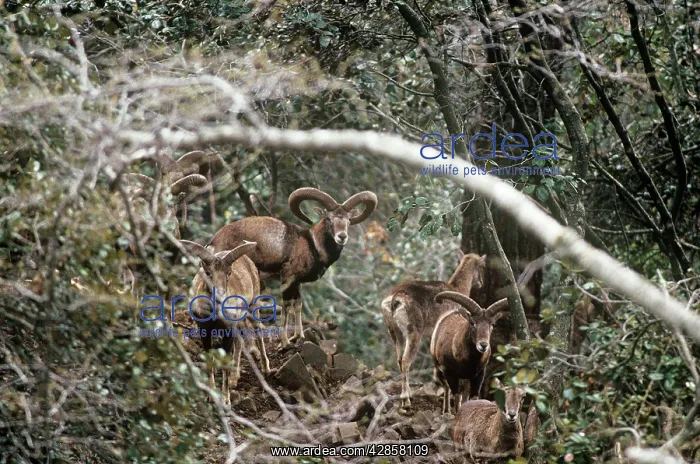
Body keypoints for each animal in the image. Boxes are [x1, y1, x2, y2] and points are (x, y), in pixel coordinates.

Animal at [180, 239, 271, 405]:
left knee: (258, 331)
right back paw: (235, 378)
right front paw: (210, 395)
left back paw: (266, 369)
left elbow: (225, 362)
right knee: (240, 341)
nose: (221, 296)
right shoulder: (205, 330)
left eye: (228, 273)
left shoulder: (228, 329)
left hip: (253, 304)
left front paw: (226, 399)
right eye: (208, 273)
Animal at [207, 187, 378, 346]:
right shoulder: (287, 278)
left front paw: (298, 336)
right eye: (329, 218)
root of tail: (213, 243)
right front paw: (285, 342)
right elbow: (287, 306)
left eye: (348, 220)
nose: (342, 236)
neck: (312, 244)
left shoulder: (297, 283)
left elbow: (297, 305)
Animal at [380, 251, 486, 408]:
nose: (481, 282)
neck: (457, 289)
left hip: (394, 332)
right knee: (405, 360)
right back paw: (406, 399)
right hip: (414, 332)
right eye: (482, 267)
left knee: (399, 359)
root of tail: (394, 299)